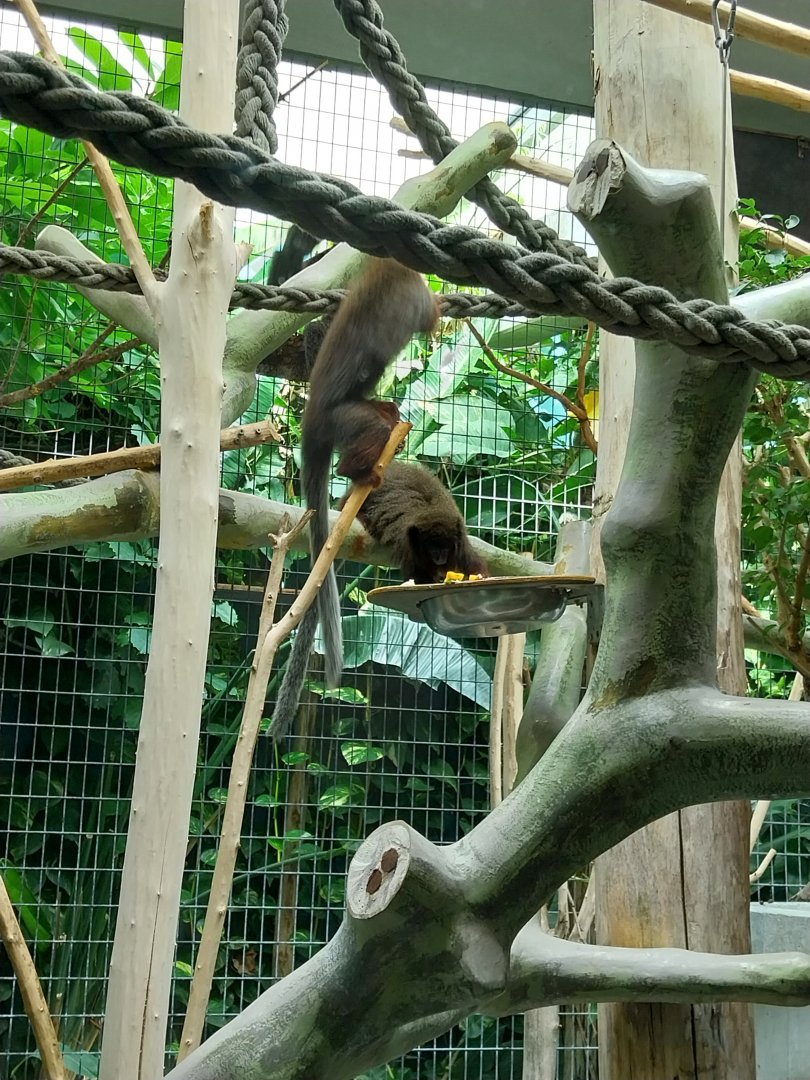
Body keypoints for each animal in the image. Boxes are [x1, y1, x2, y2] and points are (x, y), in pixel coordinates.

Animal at [270, 258, 440, 743]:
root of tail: (309, 424)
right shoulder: (415, 292)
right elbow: (430, 315)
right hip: (340, 420)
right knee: (366, 428)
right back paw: (360, 470)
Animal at [343, 460, 488, 584]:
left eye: (445, 548)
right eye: (431, 549)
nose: (440, 557)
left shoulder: (460, 539)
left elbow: (473, 564)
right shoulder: (409, 545)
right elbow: (418, 577)